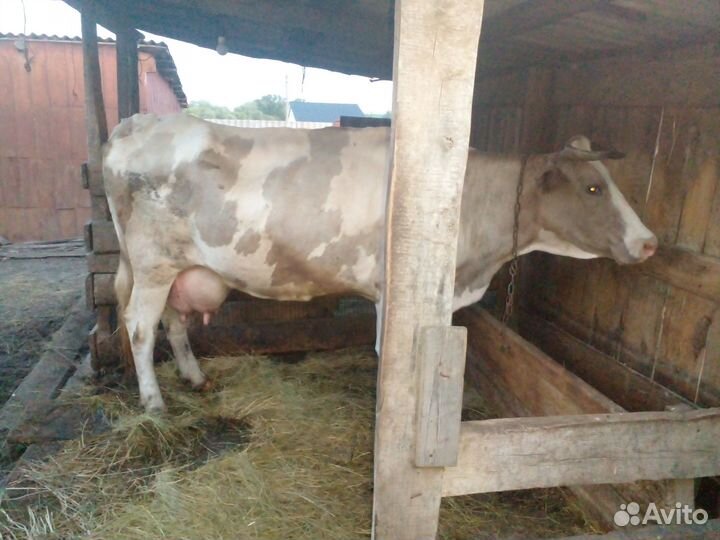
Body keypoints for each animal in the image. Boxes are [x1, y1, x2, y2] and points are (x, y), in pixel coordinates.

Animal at [103, 113, 657, 412]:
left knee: (173, 323)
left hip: (175, 268)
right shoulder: (396, 294)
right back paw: (154, 402)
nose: (650, 242)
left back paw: (194, 377)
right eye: (593, 187)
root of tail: (142, 122)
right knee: (140, 328)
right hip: (152, 264)